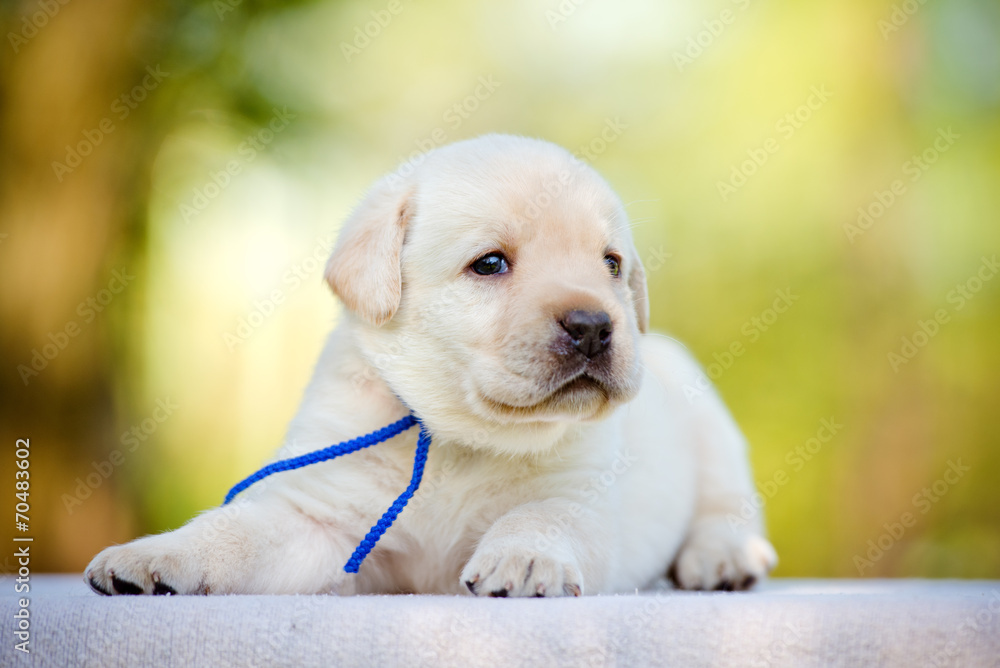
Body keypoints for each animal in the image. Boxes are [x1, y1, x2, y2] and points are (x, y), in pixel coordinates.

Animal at [84, 133, 772, 596]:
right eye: (490, 264)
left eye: (611, 264)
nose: (595, 325)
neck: (457, 440)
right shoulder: (322, 517)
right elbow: (236, 531)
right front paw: (153, 556)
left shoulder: (583, 493)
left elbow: (545, 514)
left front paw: (525, 559)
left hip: (709, 422)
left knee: (728, 504)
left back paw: (722, 557)